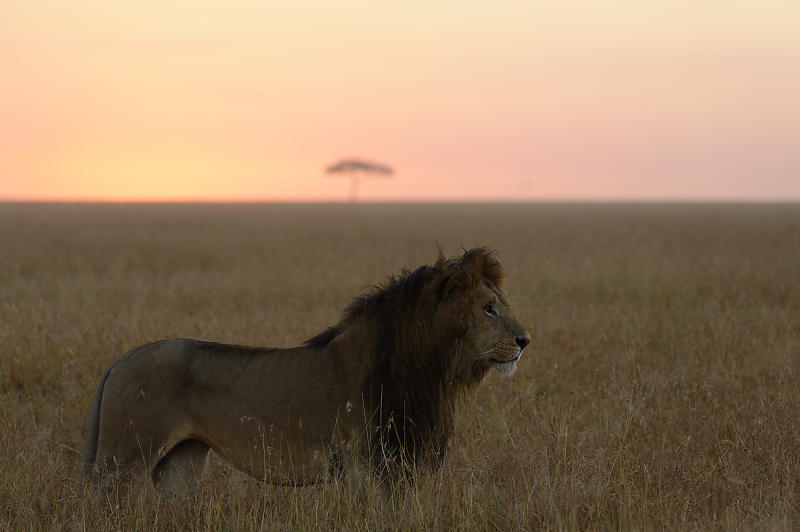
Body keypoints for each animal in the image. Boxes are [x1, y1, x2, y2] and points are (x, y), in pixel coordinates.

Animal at [79, 247, 532, 492]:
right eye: (489, 309)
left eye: (502, 304)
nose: (525, 340)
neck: (429, 369)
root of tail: (119, 362)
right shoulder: (362, 466)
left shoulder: (396, 465)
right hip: (124, 461)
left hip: (182, 462)